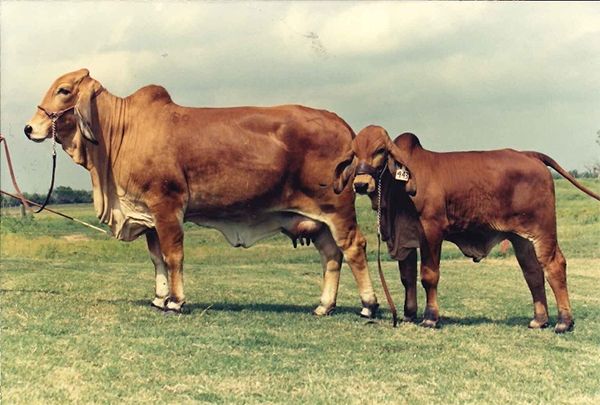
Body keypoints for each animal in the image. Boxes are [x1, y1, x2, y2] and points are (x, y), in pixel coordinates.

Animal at [25, 68, 380, 316]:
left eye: (64, 90)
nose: (29, 128)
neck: (122, 132)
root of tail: (343, 126)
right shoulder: (147, 213)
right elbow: (156, 258)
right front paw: (159, 298)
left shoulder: (167, 204)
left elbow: (173, 255)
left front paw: (176, 301)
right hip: (318, 221)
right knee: (331, 255)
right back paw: (324, 305)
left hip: (337, 209)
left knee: (353, 248)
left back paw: (368, 305)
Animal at [336, 124, 596, 332]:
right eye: (355, 153)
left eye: (380, 150)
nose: (361, 185)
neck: (399, 187)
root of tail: (529, 155)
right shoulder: (405, 236)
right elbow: (407, 276)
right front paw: (409, 314)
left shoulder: (431, 232)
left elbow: (428, 276)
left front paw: (430, 318)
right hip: (521, 238)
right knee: (533, 273)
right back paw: (539, 320)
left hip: (543, 231)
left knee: (555, 266)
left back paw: (564, 322)